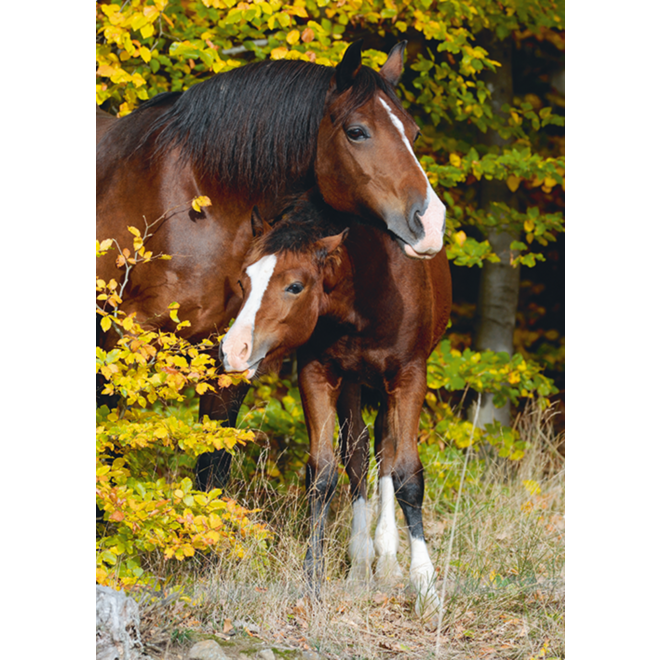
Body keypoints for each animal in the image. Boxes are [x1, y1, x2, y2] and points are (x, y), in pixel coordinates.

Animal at [96, 41, 447, 491]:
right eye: (356, 131)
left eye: (414, 132)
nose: (431, 223)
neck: (194, 203)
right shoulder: (123, 344)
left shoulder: (231, 356)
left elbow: (212, 466)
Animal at [221, 192, 452, 617]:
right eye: (245, 281)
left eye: (295, 286)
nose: (233, 350)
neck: (364, 296)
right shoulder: (316, 374)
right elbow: (323, 473)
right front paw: (313, 577)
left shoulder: (409, 377)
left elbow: (408, 476)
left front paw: (426, 589)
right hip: (353, 384)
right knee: (358, 455)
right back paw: (361, 563)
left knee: (385, 449)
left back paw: (387, 559)